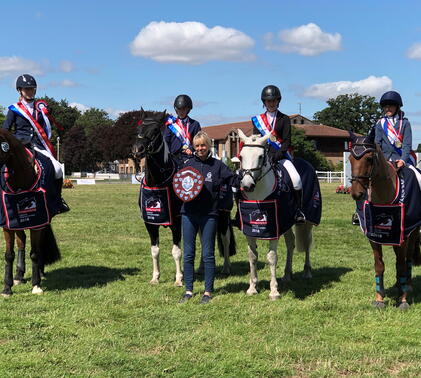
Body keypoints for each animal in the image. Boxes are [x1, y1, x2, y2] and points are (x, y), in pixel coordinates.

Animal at [0, 128, 60, 296]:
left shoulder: (38, 222)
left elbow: (35, 252)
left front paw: (36, 284)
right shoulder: (8, 223)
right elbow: (9, 255)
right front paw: (7, 288)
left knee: (38, 247)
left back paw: (39, 272)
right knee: (21, 242)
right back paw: (19, 275)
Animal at [132, 110, 236, 284]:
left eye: (155, 131)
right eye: (138, 129)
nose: (137, 149)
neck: (158, 183)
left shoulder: (177, 222)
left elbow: (176, 251)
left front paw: (179, 279)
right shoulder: (150, 223)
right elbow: (154, 250)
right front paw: (155, 277)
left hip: (223, 215)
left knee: (225, 237)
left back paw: (227, 268)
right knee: (202, 237)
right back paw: (201, 268)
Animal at [236, 131, 318, 300]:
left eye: (261, 156)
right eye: (241, 156)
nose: (247, 185)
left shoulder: (273, 229)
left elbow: (272, 257)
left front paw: (274, 291)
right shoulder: (250, 230)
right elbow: (252, 256)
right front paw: (252, 287)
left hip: (307, 221)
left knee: (307, 243)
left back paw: (307, 272)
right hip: (286, 222)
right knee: (291, 243)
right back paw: (287, 275)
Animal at [348, 131, 420, 308]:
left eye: (369, 158)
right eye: (350, 159)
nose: (357, 194)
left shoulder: (402, 237)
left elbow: (401, 265)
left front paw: (403, 300)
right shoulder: (373, 237)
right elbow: (379, 265)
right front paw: (379, 298)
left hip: (413, 232)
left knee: (407, 259)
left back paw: (406, 285)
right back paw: (398, 284)